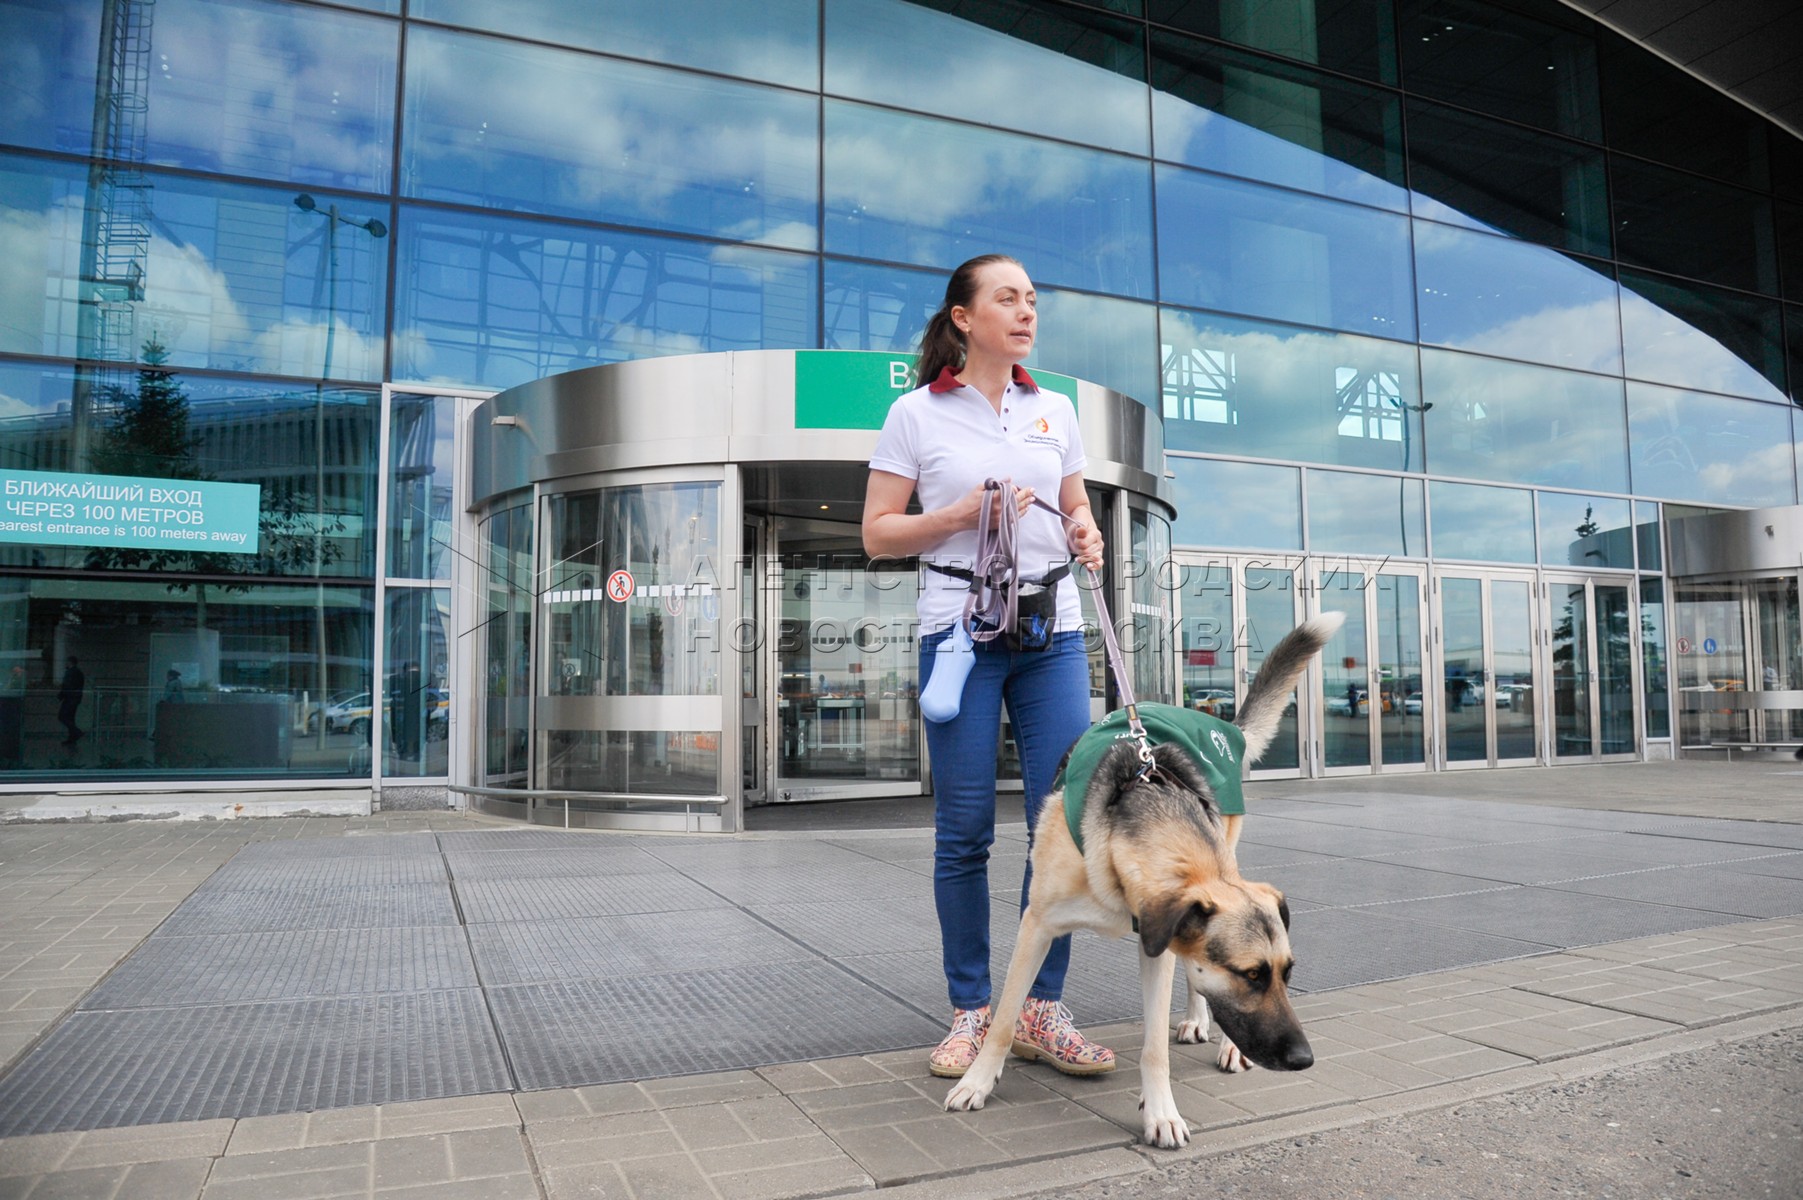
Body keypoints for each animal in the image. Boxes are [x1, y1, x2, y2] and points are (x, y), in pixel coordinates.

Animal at [944, 612, 1343, 1148]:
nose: (1305, 1060)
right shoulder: (1038, 926)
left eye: (1288, 972)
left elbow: (1155, 1047)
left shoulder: (1160, 944)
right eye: (1251, 975)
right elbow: (1004, 1021)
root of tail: (1220, 724)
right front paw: (977, 1083)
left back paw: (1220, 1040)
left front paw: (1160, 1113)